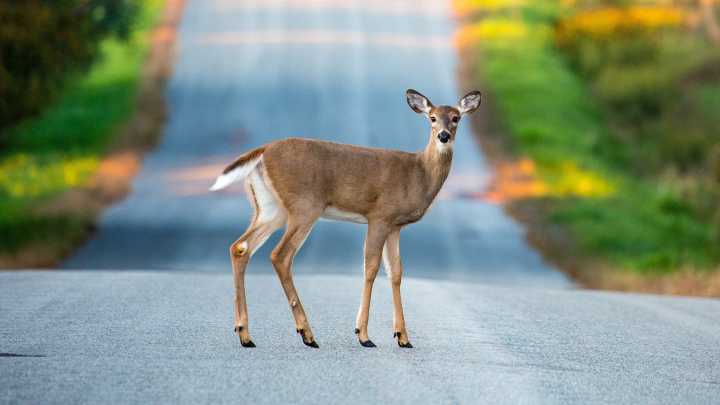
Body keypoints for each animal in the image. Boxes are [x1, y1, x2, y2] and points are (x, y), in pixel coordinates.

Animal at [209, 89, 481, 349]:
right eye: (432, 118)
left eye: (456, 118)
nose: (443, 136)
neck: (419, 174)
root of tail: (263, 151)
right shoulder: (379, 215)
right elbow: (370, 268)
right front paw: (363, 335)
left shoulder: (395, 226)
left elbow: (396, 272)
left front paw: (403, 337)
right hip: (304, 206)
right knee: (280, 255)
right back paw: (307, 334)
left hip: (270, 207)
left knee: (240, 247)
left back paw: (245, 335)